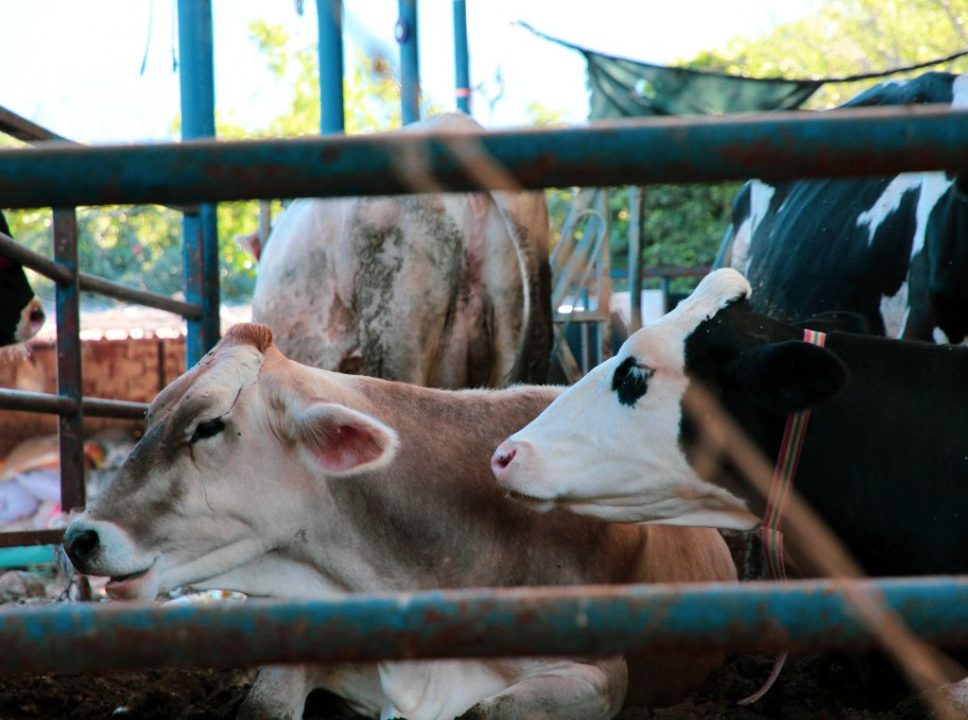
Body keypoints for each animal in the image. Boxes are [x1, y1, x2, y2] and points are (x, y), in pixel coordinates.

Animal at [64, 324, 736, 716]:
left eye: (208, 424)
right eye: (148, 417)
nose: (78, 536)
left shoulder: (599, 672)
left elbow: (486, 709)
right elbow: (264, 703)